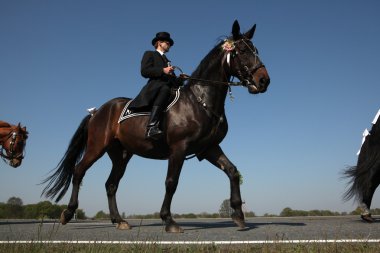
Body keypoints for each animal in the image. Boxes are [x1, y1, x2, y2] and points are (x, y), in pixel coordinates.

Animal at [41, 20, 270, 232]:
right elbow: (171, 182)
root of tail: (97, 111)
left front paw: (238, 214)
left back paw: (118, 220)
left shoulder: (209, 148)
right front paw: (168, 220)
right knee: (79, 171)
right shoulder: (179, 148)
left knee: (111, 184)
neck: (200, 101)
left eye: (256, 51)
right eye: (242, 51)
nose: (264, 81)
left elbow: (232, 171)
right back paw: (68, 213)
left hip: (121, 155)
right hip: (97, 147)